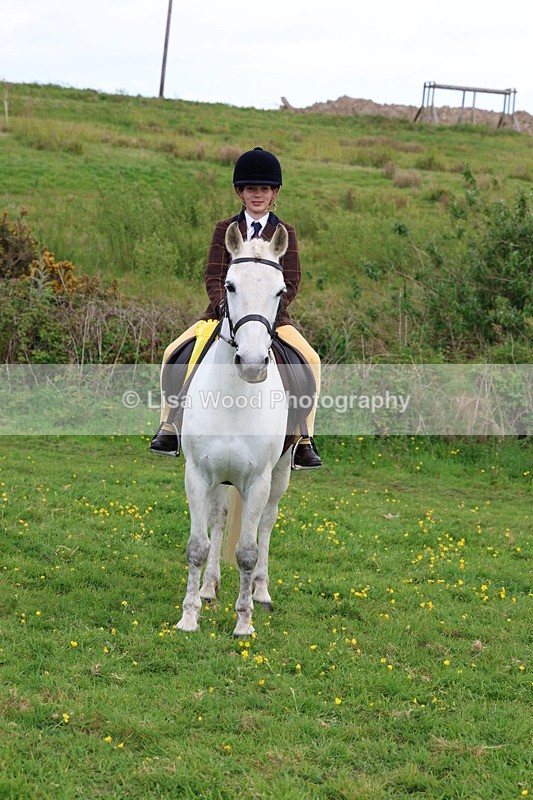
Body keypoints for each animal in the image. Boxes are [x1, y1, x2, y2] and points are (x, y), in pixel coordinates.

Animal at [177, 221, 292, 637]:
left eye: (280, 291)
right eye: (229, 285)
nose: (253, 363)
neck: (234, 398)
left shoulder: (257, 481)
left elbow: (246, 551)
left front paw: (244, 622)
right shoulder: (198, 474)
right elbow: (198, 545)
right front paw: (189, 616)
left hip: (280, 475)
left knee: (268, 524)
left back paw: (261, 592)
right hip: (219, 479)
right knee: (220, 519)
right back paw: (209, 588)